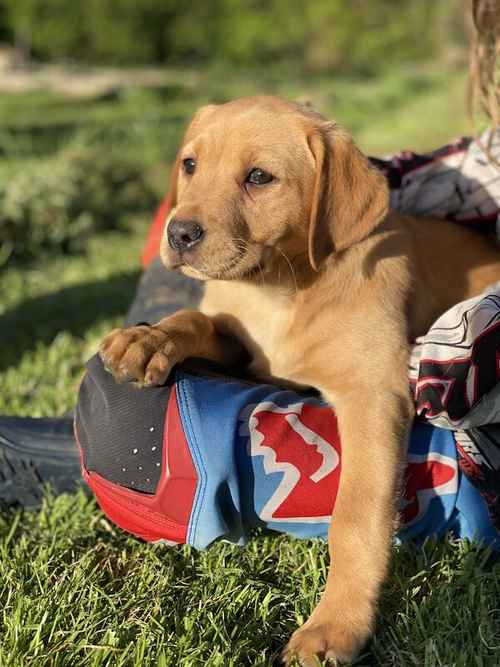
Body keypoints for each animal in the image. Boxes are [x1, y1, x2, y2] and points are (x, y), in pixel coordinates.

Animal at [99, 96, 500, 664]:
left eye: (259, 177)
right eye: (190, 165)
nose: (177, 234)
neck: (278, 289)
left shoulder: (373, 396)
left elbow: (355, 515)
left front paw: (335, 625)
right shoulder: (236, 337)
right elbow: (197, 319)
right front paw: (149, 337)